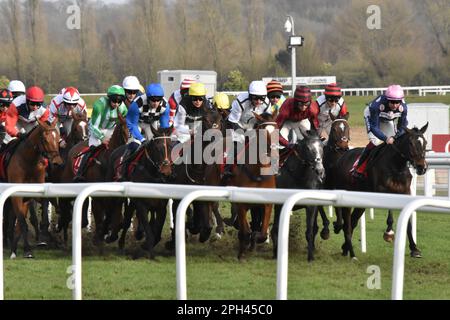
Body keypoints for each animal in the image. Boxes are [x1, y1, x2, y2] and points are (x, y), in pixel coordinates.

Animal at [1, 119, 62, 258]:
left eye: (58, 137)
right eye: (45, 139)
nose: (57, 162)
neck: (28, 161)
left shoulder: (32, 193)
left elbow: (44, 203)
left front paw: (44, 235)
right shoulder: (16, 195)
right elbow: (22, 221)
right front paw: (28, 250)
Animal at [268, 130, 326, 262]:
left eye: (322, 147)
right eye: (308, 148)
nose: (320, 170)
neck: (299, 175)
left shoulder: (311, 206)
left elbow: (310, 231)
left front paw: (310, 257)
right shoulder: (280, 205)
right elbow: (276, 228)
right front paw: (275, 253)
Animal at [334, 124, 428, 258]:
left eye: (425, 142)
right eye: (411, 143)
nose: (422, 167)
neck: (396, 166)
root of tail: (342, 157)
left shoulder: (405, 192)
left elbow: (408, 223)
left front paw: (414, 249)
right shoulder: (382, 191)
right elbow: (390, 213)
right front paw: (389, 232)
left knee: (353, 220)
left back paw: (345, 248)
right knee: (348, 221)